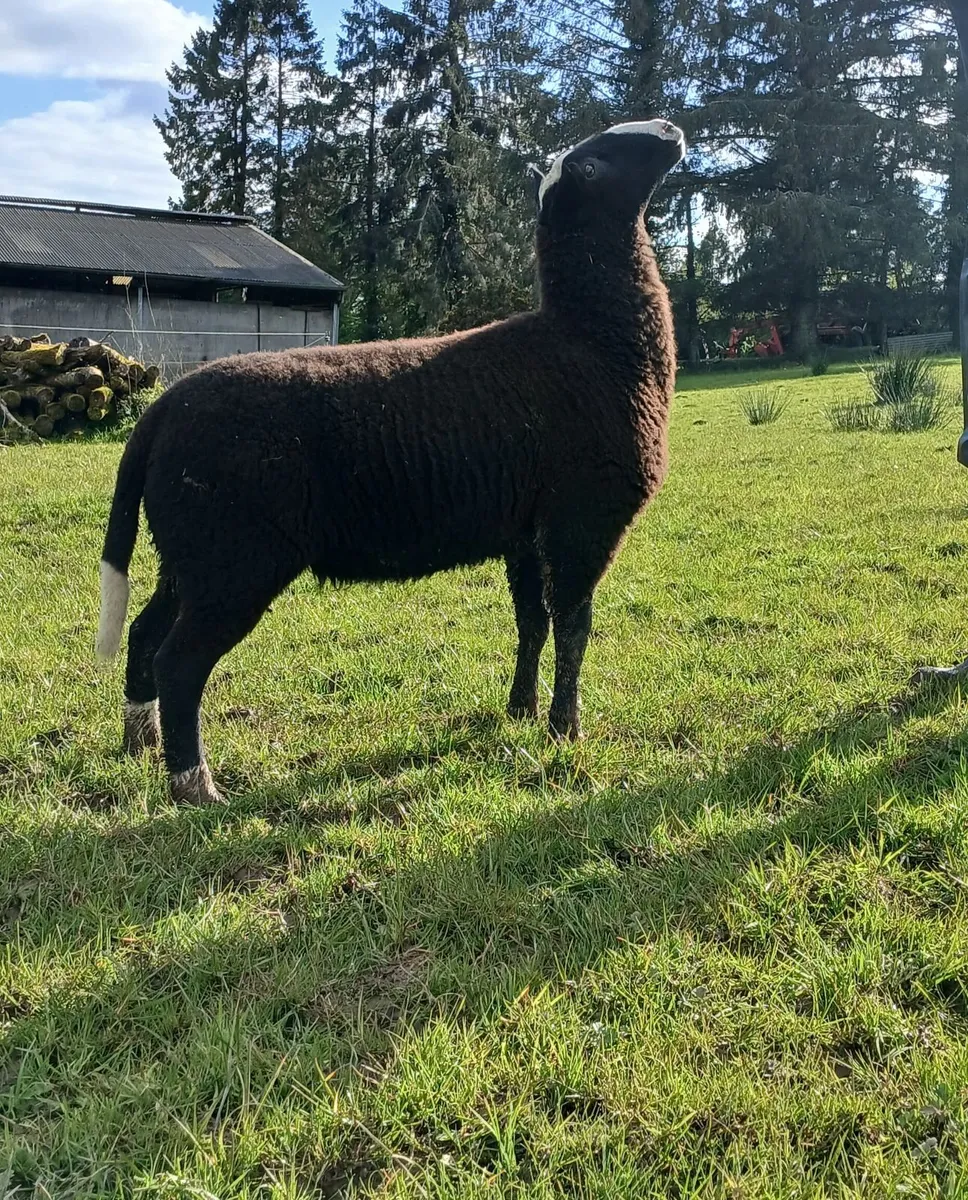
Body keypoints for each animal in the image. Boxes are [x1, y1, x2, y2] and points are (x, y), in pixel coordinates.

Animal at [95, 118, 686, 806]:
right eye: (592, 166)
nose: (671, 129)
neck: (591, 339)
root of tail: (160, 412)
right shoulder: (581, 520)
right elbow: (573, 625)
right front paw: (565, 731)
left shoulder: (525, 531)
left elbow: (532, 624)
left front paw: (520, 712)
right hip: (234, 560)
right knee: (179, 662)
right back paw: (195, 786)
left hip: (189, 552)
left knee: (145, 634)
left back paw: (141, 743)